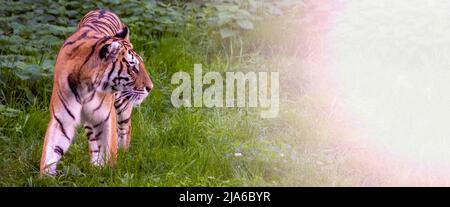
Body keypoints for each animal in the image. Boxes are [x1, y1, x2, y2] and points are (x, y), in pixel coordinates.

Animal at [40, 8, 153, 175]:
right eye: (133, 68)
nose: (150, 87)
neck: (86, 84)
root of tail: (102, 9)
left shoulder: (106, 117)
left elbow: (109, 149)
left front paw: (109, 173)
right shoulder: (62, 120)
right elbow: (51, 152)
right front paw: (46, 176)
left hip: (123, 104)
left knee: (125, 129)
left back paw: (123, 154)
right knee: (93, 140)